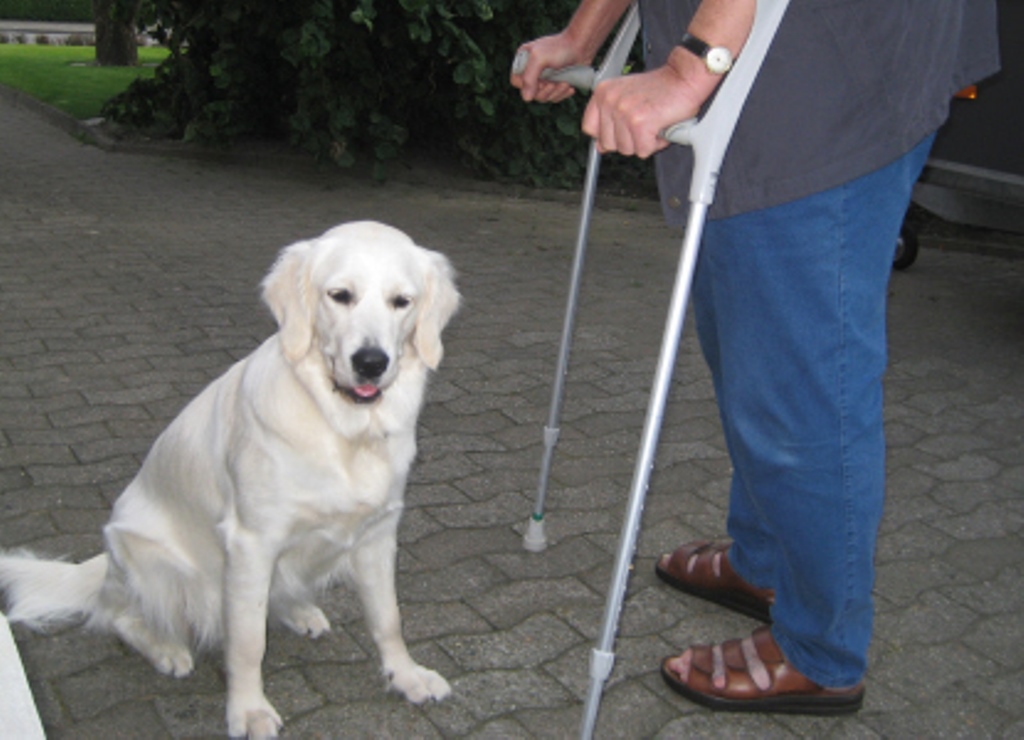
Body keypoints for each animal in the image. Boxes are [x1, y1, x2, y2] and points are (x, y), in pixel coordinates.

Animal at [0, 219, 460, 736]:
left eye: (402, 301)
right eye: (340, 295)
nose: (371, 362)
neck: (341, 428)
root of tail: (105, 567)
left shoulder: (378, 534)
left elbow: (388, 618)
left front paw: (406, 675)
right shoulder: (251, 543)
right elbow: (247, 642)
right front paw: (248, 709)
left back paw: (299, 611)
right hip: (150, 561)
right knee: (118, 615)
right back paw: (166, 649)